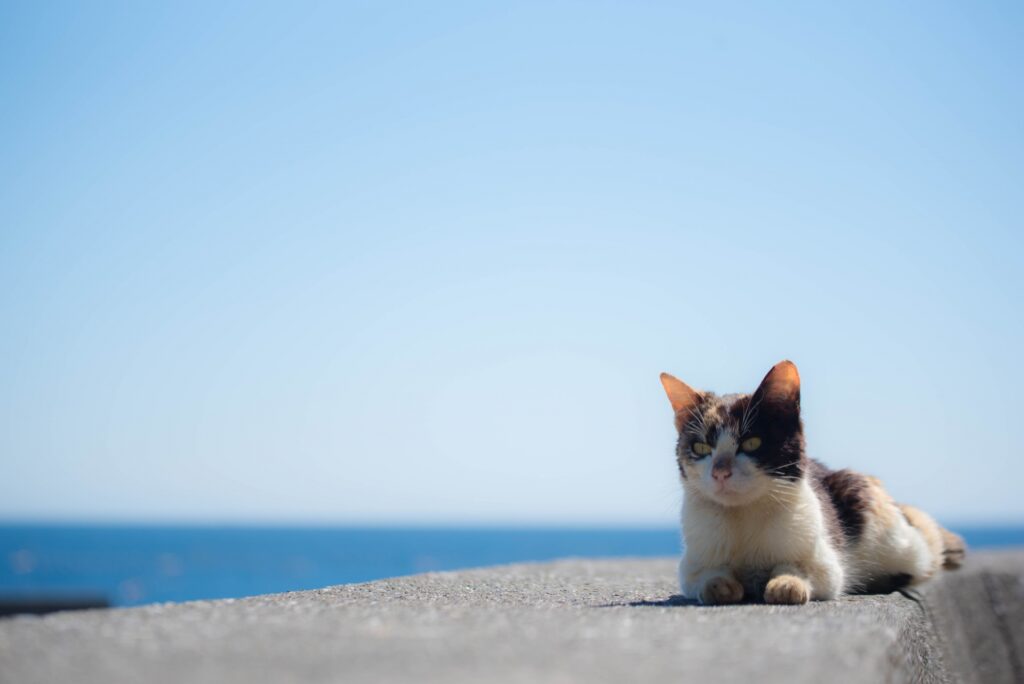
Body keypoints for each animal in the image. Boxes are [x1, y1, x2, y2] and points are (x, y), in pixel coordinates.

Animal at [659, 360, 962, 606]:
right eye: (700, 448)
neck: (743, 516)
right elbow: (706, 576)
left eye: (752, 443)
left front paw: (787, 583)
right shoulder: (692, 565)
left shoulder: (827, 564)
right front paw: (719, 585)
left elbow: (804, 570)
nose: (720, 472)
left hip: (893, 535)